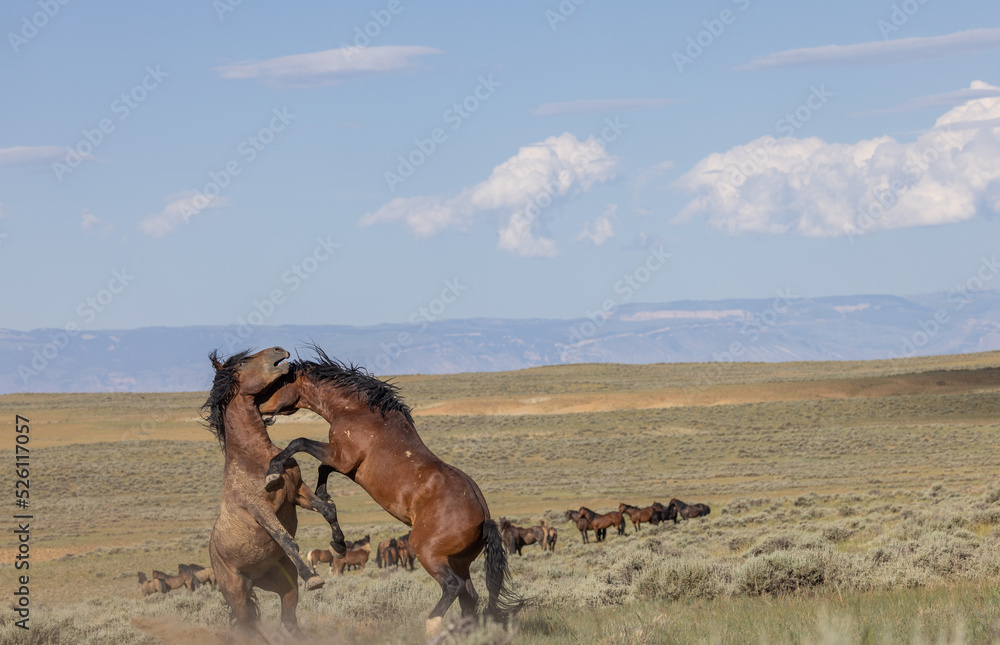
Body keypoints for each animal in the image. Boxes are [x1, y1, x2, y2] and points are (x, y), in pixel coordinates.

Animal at [204, 347, 348, 638]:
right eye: (243, 363)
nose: (279, 350)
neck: (254, 456)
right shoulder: (260, 510)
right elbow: (287, 540)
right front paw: (313, 578)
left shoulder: (297, 492)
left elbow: (327, 509)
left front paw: (339, 545)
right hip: (236, 596)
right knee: (247, 626)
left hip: (282, 585)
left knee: (288, 619)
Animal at [258, 346, 522, 637]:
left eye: (279, 383)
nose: (259, 406)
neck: (358, 411)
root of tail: (483, 517)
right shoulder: (343, 464)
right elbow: (322, 469)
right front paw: (336, 536)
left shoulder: (342, 458)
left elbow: (299, 443)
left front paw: (272, 472)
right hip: (459, 561)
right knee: (469, 596)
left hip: (428, 553)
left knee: (452, 587)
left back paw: (432, 627)